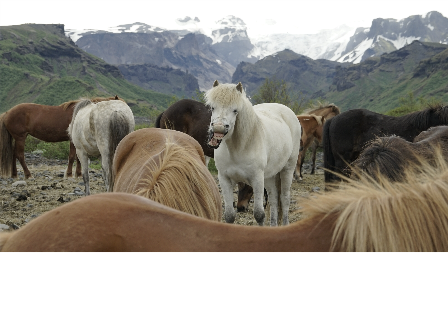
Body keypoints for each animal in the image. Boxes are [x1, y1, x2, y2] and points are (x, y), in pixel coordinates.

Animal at [206, 80, 300, 226]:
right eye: (212, 107)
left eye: (235, 110)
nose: (218, 129)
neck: (238, 148)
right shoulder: (224, 179)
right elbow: (229, 216)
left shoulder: (257, 179)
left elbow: (259, 215)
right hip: (269, 176)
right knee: (274, 199)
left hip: (287, 170)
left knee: (284, 199)